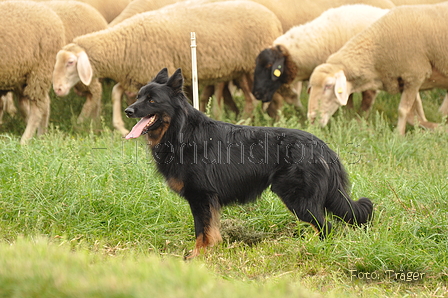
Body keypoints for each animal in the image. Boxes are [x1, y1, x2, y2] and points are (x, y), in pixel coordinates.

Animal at [0, 0, 65, 143]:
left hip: (39, 72)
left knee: (38, 109)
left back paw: (25, 140)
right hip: (22, 76)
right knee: (43, 104)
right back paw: (41, 137)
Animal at [124, 68, 372, 258]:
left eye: (152, 100)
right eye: (138, 97)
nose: (127, 111)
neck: (181, 132)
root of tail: (323, 147)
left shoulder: (201, 196)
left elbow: (201, 231)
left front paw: (197, 257)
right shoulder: (208, 200)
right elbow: (210, 231)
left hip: (298, 200)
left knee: (326, 227)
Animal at [308, 2, 448, 134]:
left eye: (328, 86)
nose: (312, 119)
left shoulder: (414, 75)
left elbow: (403, 110)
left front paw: (399, 135)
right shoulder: (405, 81)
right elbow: (413, 113)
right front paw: (431, 127)